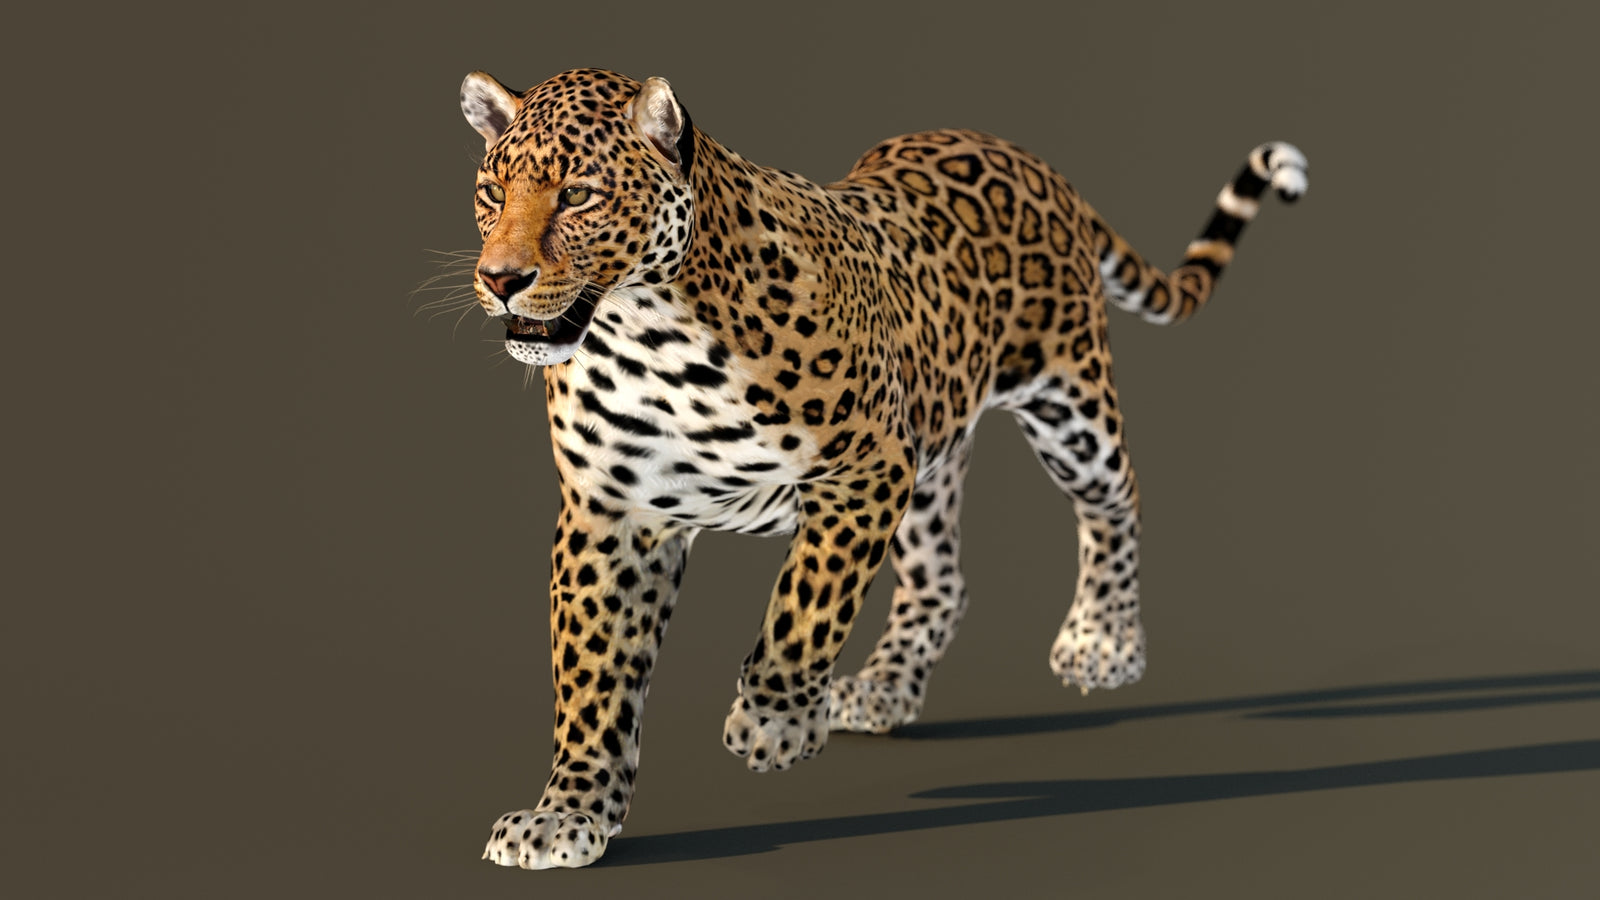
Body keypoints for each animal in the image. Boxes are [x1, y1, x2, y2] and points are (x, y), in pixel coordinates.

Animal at [451, 67, 1306, 869]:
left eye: (579, 194)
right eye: (492, 192)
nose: (501, 280)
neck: (645, 335)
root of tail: (1024, 155)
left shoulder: (863, 467)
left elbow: (806, 603)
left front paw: (774, 722)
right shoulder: (612, 516)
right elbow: (594, 678)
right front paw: (569, 814)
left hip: (1068, 404)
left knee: (1117, 497)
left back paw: (1104, 641)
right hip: (933, 451)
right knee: (943, 580)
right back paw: (888, 685)